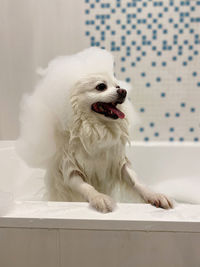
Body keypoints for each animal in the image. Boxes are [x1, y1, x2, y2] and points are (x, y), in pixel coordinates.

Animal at [17, 47, 173, 214]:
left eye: (117, 86)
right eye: (101, 86)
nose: (123, 91)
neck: (97, 129)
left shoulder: (119, 163)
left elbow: (136, 181)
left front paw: (154, 195)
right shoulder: (70, 170)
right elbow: (87, 187)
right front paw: (100, 198)